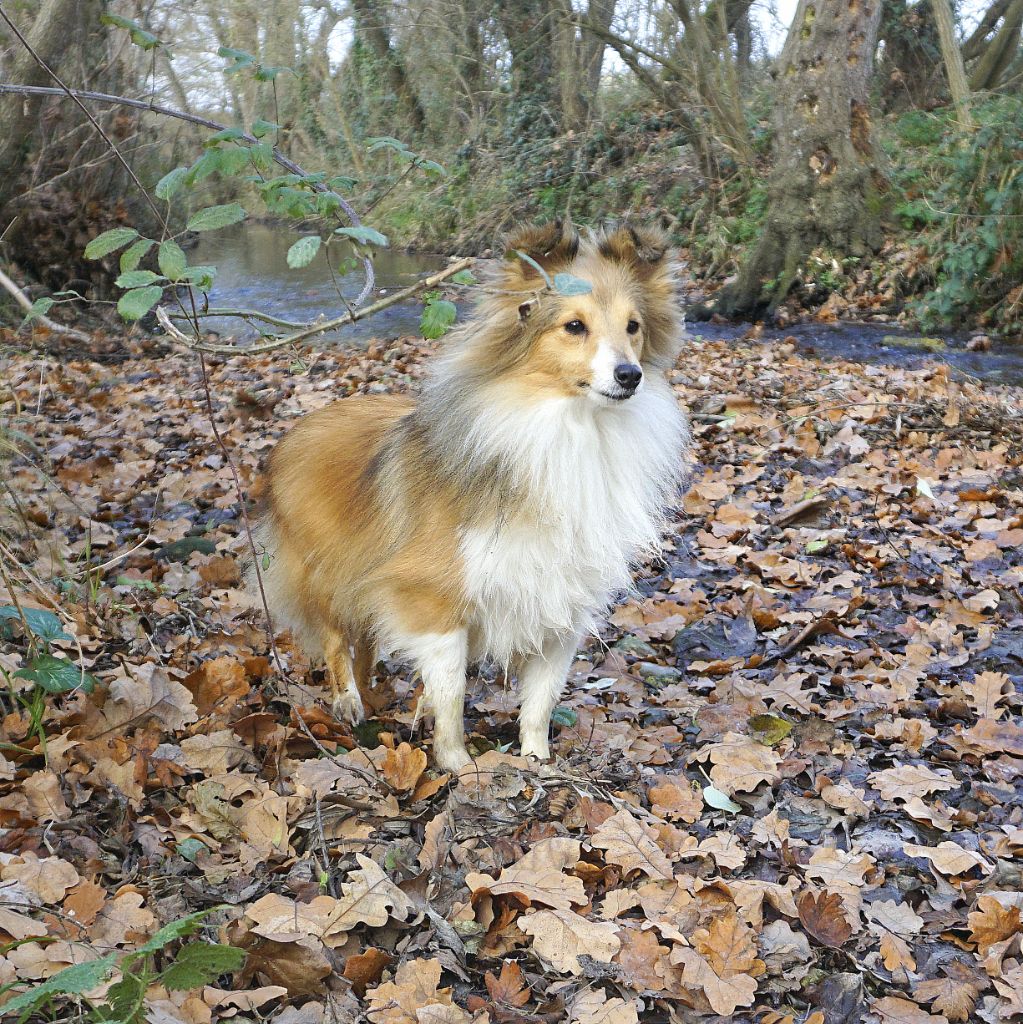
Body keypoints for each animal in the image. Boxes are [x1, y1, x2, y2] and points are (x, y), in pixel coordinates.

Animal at [252, 222, 692, 770]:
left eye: (633, 326)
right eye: (574, 326)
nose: (630, 375)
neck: (570, 430)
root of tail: (299, 427)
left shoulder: (561, 608)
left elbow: (541, 698)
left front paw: (536, 761)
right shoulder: (434, 597)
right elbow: (453, 692)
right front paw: (458, 764)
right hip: (330, 573)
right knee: (337, 639)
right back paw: (349, 700)